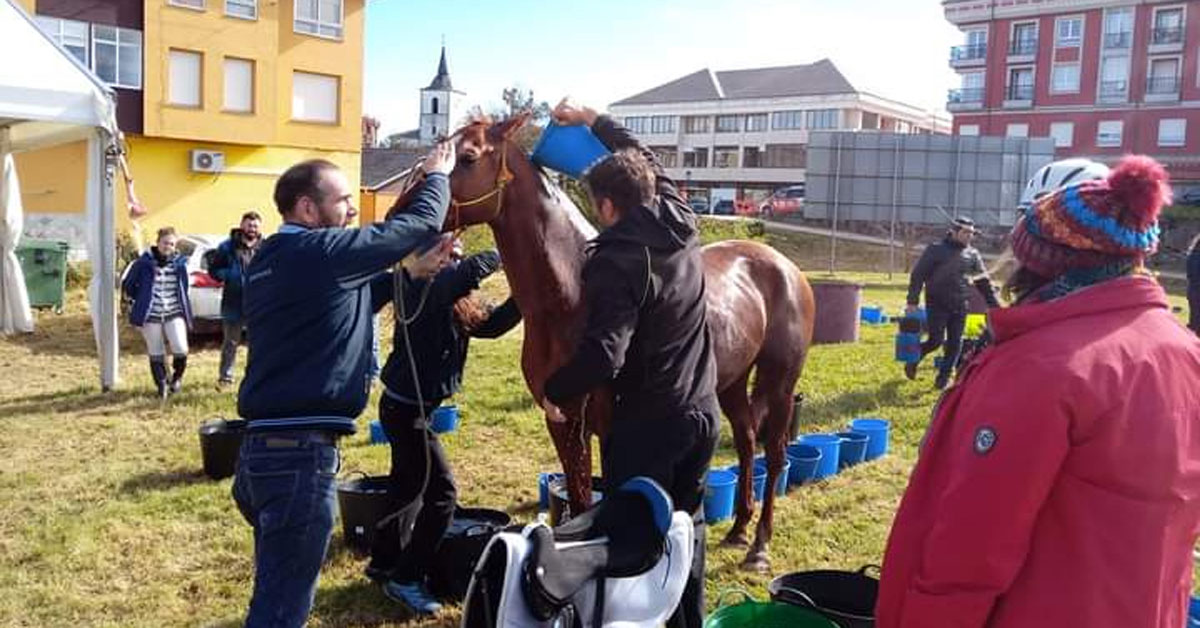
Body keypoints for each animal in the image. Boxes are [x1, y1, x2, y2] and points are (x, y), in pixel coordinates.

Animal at [393, 116, 816, 569]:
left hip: (780, 383)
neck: (573, 292)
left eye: (468, 156)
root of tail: (782, 265)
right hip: (732, 383)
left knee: (774, 454)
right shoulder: (563, 421)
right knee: (746, 441)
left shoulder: (610, 426)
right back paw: (738, 529)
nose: (398, 211)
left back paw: (759, 546)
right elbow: (579, 497)